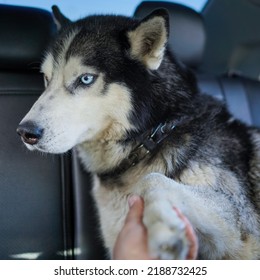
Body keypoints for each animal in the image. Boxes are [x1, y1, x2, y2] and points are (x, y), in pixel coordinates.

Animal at [16, 5, 260, 260]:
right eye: (46, 78)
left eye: (86, 79)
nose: (25, 132)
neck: (154, 135)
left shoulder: (241, 221)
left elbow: (152, 179)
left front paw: (165, 229)